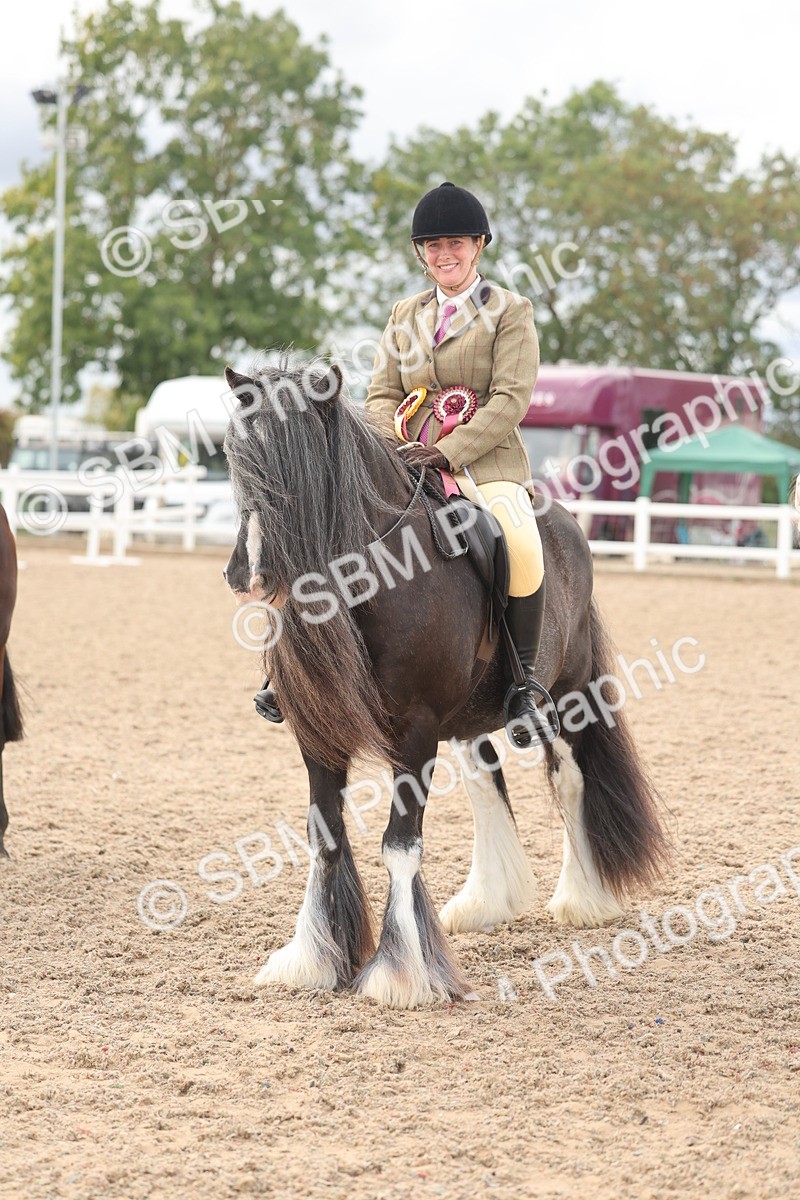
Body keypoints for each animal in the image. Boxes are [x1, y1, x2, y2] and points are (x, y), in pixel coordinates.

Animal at [223, 359, 669, 1008]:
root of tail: (567, 523)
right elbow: (325, 834)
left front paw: (401, 974)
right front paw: (314, 959)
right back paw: (488, 901)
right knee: (488, 784)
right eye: (235, 454)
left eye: (301, 464)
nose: (248, 574)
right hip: (468, 717)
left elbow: (399, 844)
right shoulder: (318, 731)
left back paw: (583, 899)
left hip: (566, 697)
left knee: (571, 781)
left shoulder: (415, 729)